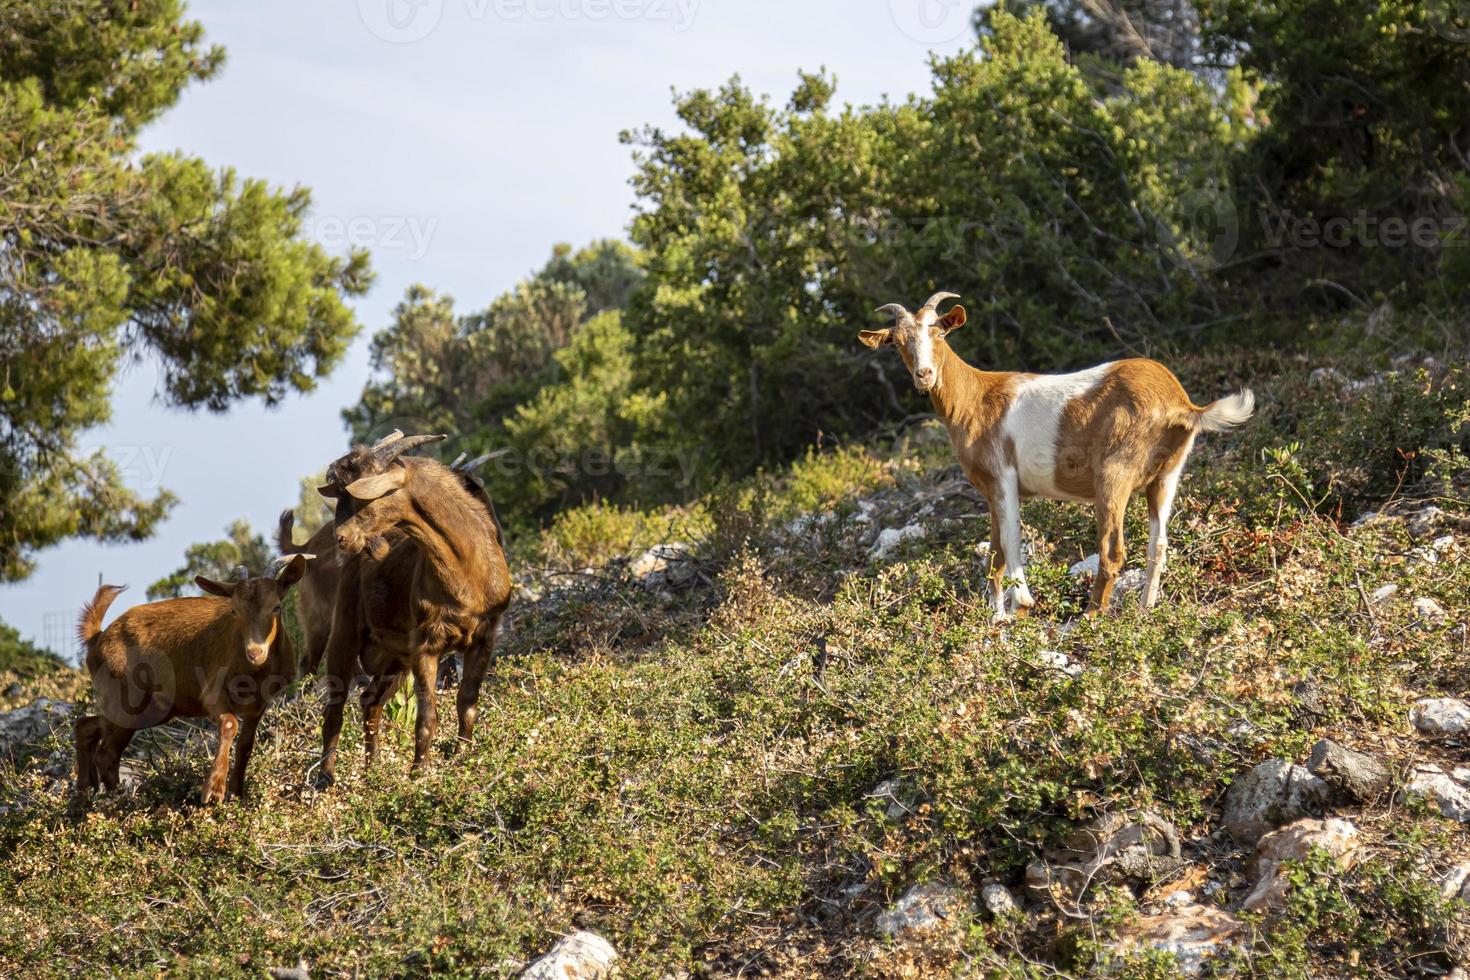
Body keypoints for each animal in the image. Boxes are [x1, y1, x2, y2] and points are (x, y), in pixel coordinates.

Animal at [74, 558, 310, 805]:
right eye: (234, 611)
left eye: (276, 607)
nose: (255, 652)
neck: (254, 672)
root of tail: (96, 639)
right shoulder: (213, 692)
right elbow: (229, 724)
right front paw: (213, 790)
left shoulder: (258, 705)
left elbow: (246, 744)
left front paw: (237, 795)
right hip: (126, 699)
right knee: (107, 753)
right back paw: (117, 799)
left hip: (151, 709)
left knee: (87, 725)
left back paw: (85, 786)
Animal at [314, 431, 511, 787]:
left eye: (362, 495)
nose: (342, 538)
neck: (466, 570)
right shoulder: (425, 644)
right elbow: (427, 714)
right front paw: (419, 772)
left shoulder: (485, 637)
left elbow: (467, 702)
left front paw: (464, 757)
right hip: (346, 630)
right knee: (335, 707)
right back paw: (324, 778)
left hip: (394, 657)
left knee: (370, 701)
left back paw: (373, 769)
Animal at [858, 295, 1252, 625]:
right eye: (898, 342)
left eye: (939, 332)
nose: (924, 375)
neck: (975, 398)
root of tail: (1181, 405)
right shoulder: (989, 490)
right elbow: (995, 555)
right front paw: (995, 617)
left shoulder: (1003, 477)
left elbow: (1011, 541)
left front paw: (1020, 605)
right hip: (1167, 475)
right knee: (1159, 544)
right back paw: (1144, 610)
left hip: (1114, 473)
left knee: (1112, 550)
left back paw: (1088, 617)